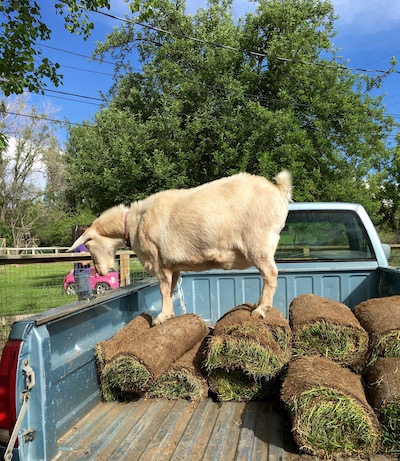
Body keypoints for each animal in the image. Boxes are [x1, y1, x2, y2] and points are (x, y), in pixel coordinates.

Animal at [67, 171, 292, 326]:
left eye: (88, 244)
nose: (101, 272)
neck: (133, 223)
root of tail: (279, 190)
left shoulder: (157, 260)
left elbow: (162, 289)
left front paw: (160, 318)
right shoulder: (171, 265)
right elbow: (170, 289)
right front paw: (169, 314)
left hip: (259, 242)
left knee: (271, 274)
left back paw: (261, 310)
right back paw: (257, 304)